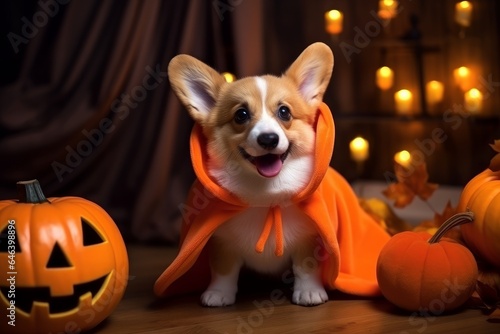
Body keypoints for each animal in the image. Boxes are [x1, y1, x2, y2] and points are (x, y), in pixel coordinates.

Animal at [168, 43, 336, 306]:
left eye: (285, 112)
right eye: (241, 115)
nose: (268, 139)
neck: (265, 197)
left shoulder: (309, 238)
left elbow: (305, 267)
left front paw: (309, 292)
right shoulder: (221, 241)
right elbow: (224, 270)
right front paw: (218, 294)